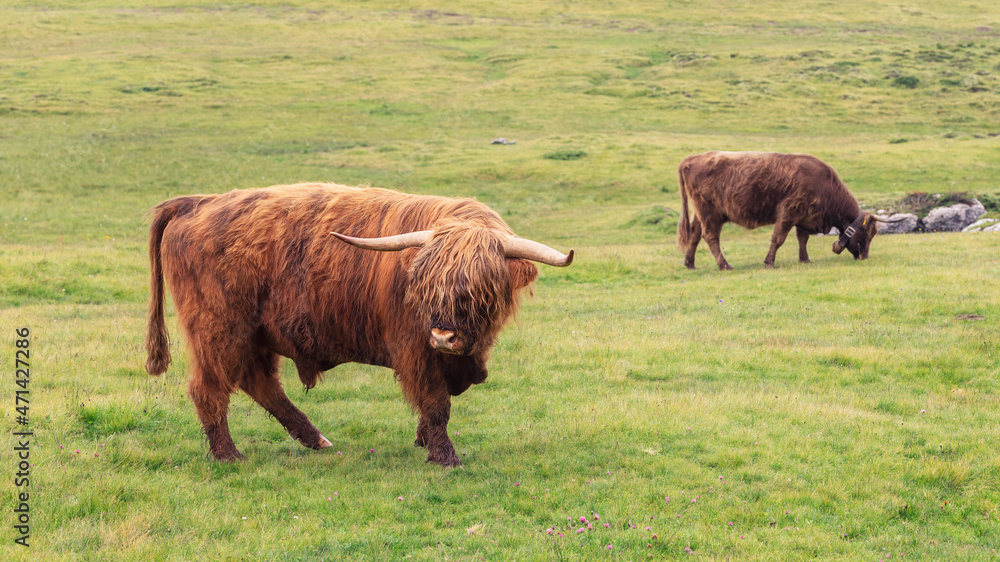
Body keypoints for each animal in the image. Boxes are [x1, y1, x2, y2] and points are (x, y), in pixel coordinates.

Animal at [145, 184, 576, 464]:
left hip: (256, 334)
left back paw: (315, 440)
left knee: (260, 382)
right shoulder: (414, 349)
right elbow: (436, 401)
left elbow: (448, 393)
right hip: (219, 329)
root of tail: (197, 202)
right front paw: (444, 455)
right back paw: (228, 454)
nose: (442, 334)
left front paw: (422, 438)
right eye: (426, 285)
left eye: (478, 289)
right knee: (210, 388)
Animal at [676, 151, 896, 270]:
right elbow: (778, 238)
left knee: (694, 234)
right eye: (869, 233)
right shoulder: (788, 212)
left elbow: (802, 239)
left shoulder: (805, 218)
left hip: (700, 214)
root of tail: (691, 159)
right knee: (710, 237)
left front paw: (805, 259)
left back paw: (689, 263)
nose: (864, 256)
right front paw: (769, 262)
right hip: (710, 213)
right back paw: (725, 265)